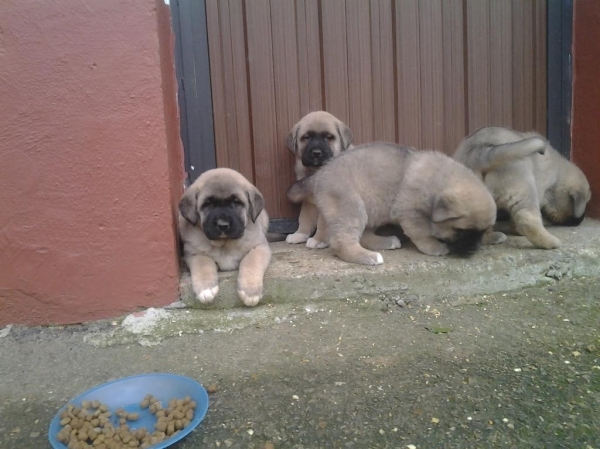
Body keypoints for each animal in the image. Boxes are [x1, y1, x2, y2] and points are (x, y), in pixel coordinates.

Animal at [178, 166, 272, 306]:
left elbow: (251, 262)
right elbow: (203, 264)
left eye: (235, 203)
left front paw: (250, 291)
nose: (223, 225)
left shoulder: (259, 247)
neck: (225, 244)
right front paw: (206, 289)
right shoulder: (194, 253)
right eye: (208, 204)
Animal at [284, 110, 354, 247]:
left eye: (328, 137)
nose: (316, 153)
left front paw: (318, 240)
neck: (315, 171)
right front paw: (299, 234)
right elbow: (304, 218)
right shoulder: (309, 201)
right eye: (307, 137)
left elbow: (322, 223)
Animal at [288, 142, 494, 264]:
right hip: (351, 208)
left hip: (372, 208)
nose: (473, 250)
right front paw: (434, 247)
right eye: (462, 231)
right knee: (341, 242)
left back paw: (386, 242)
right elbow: (423, 233)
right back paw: (368, 256)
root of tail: (322, 172)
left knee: (364, 236)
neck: (438, 180)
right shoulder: (410, 213)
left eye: (483, 232)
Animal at [454, 126, 592, 248]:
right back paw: (550, 242)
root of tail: (480, 151)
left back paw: (491, 237)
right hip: (525, 188)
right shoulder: (540, 189)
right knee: (528, 221)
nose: (580, 221)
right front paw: (518, 231)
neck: (558, 175)